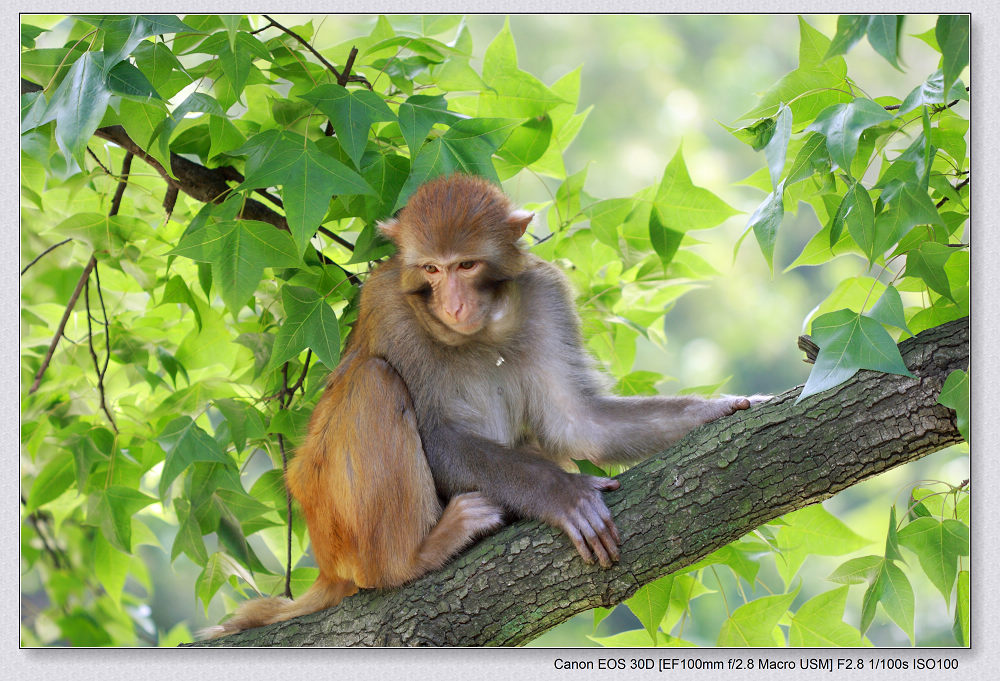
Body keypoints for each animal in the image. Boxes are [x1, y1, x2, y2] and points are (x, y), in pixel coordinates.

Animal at [205, 174, 764, 636]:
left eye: (467, 265)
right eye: (432, 269)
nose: (452, 304)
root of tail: (324, 565)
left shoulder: (545, 295)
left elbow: (578, 423)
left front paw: (718, 409)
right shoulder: (389, 304)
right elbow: (437, 437)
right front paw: (561, 493)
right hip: (338, 528)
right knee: (374, 380)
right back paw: (411, 557)